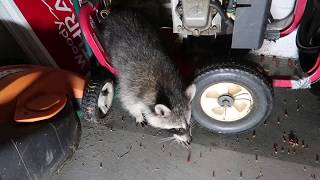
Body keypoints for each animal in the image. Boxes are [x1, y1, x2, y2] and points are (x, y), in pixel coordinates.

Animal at [97, 9, 195, 146]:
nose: (190, 141)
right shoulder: (131, 86)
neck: (167, 89)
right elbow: (129, 102)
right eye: (178, 128)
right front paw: (138, 115)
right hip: (107, 35)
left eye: (189, 123)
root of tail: (116, 12)